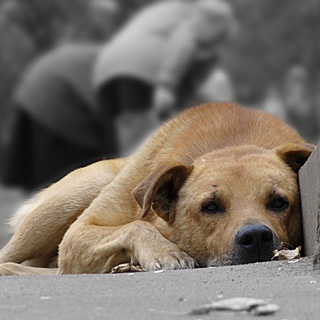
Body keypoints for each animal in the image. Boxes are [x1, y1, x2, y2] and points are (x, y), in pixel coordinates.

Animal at [0, 103, 314, 276]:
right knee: (10, 260)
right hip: (80, 193)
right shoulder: (77, 235)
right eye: (210, 206)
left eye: (279, 202)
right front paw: (165, 252)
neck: (233, 143)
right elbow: (137, 225)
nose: (256, 237)